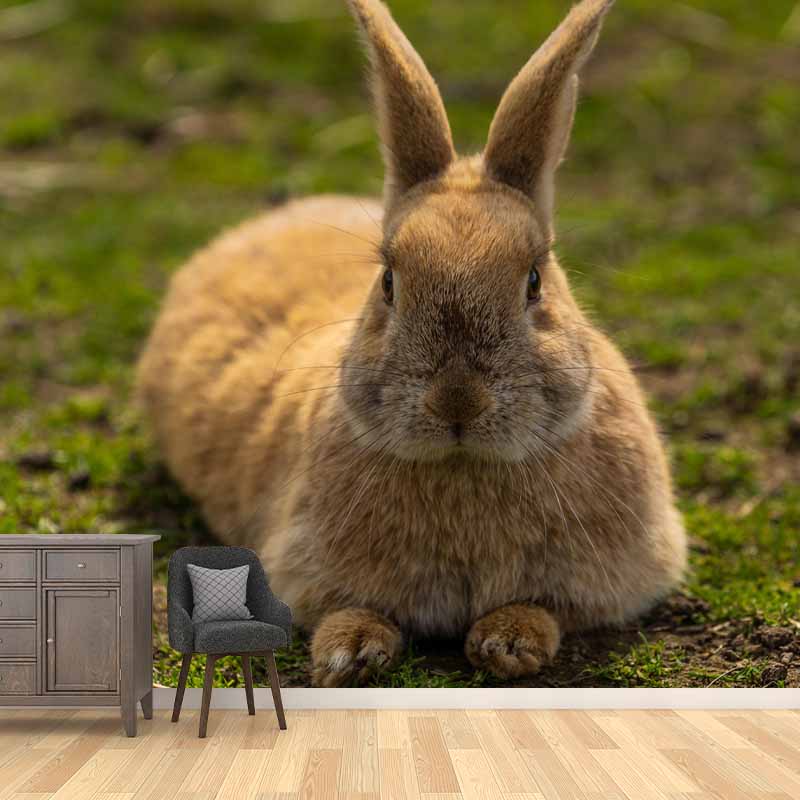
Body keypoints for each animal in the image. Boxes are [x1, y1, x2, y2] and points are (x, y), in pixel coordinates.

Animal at [137, 0, 686, 686]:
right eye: (389, 282)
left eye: (534, 280)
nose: (457, 401)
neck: (463, 466)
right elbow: (347, 609)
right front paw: (349, 653)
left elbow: (546, 607)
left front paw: (509, 641)